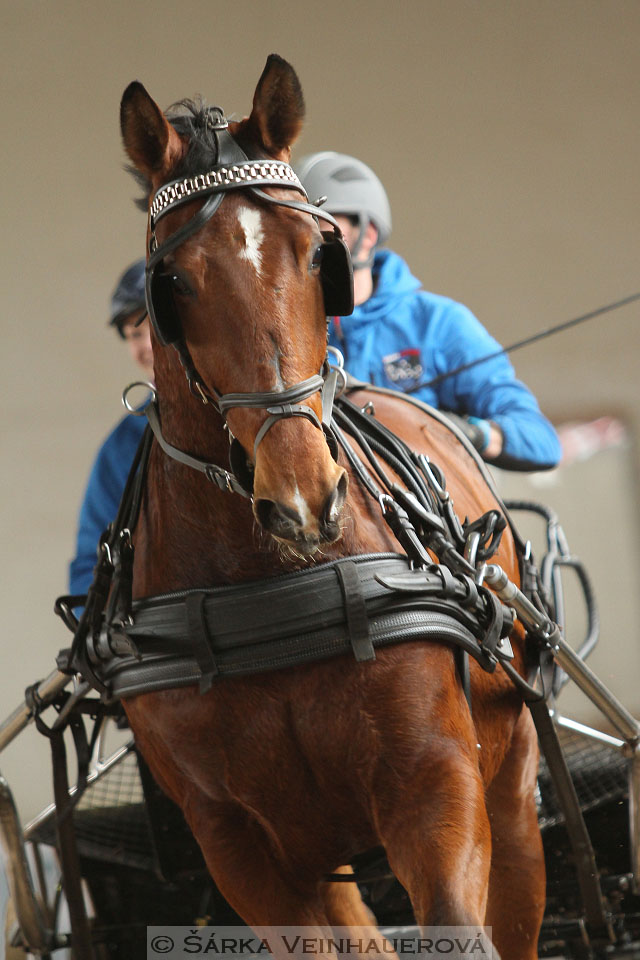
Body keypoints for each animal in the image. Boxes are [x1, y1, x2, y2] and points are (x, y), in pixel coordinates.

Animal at [119, 54, 544, 960]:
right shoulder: (239, 846)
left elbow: (459, 924)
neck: (274, 595)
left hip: (514, 783)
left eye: (320, 255)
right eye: (174, 283)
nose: (303, 497)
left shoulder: (435, 782)